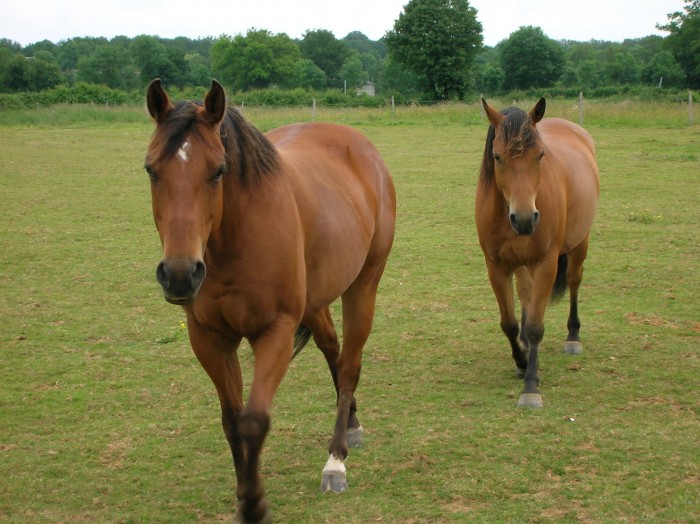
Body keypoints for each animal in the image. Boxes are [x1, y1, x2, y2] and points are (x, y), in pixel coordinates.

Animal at [144, 80, 394, 520]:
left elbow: (253, 420)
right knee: (333, 351)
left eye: (218, 170)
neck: (235, 238)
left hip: (363, 286)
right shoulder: (208, 338)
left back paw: (336, 459)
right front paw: (244, 494)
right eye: (151, 169)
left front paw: (254, 504)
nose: (179, 273)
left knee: (349, 364)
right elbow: (231, 420)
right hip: (316, 301)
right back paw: (351, 424)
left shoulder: (274, 332)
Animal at [478, 98, 600, 410]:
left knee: (574, 281)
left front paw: (531, 386)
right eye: (497, 157)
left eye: (540, 155)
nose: (524, 219)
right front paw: (521, 359)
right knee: (526, 294)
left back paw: (573, 336)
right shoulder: (496, 267)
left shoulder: (545, 264)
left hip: (579, 243)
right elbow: (509, 323)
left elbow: (535, 326)